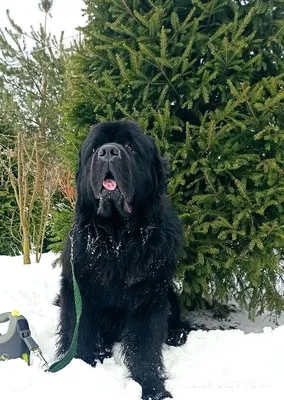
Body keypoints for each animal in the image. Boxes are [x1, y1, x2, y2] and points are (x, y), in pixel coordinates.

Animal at [56, 119, 187, 400]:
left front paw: (153, 388)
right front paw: (81, 373)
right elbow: (80, 333)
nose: (108, 151)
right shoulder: (79, 290)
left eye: (130, 147)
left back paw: (178, 333)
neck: (117, 239)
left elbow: (145, 345)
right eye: (95, 148)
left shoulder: (149, 295)